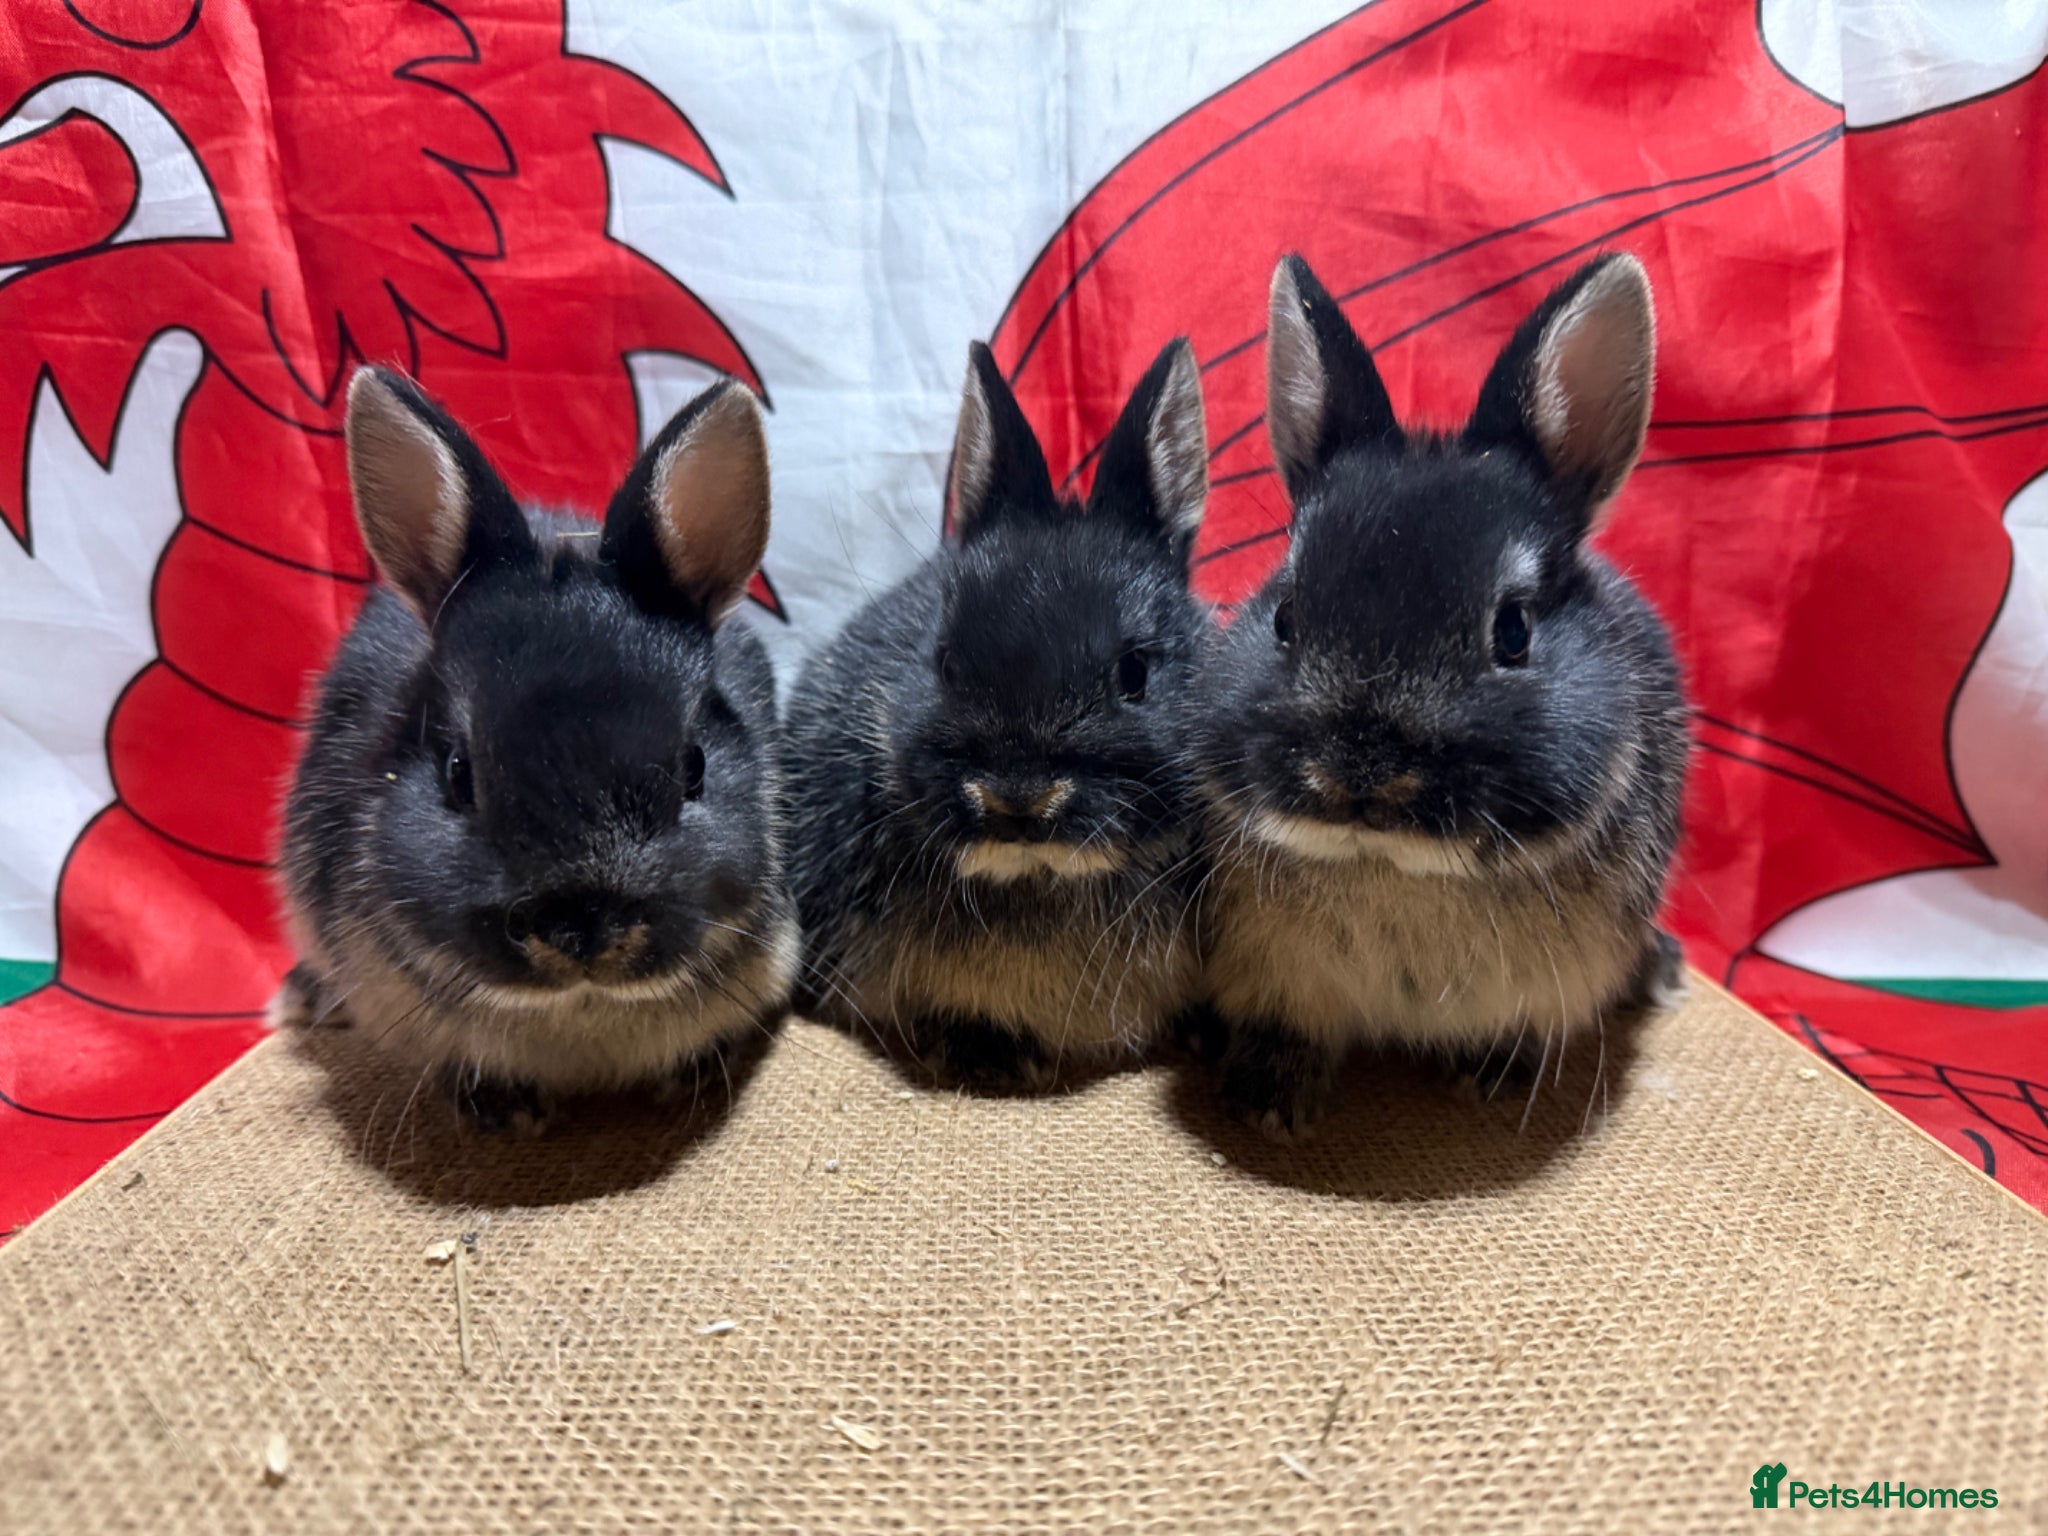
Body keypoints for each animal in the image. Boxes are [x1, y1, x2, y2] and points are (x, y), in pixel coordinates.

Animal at [1190, 252, 1688, 1138]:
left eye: (1514, 630)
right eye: (1284, 616)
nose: (1358, 768)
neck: (1393, 866)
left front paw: (1492, 1074)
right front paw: (1271, 1103)